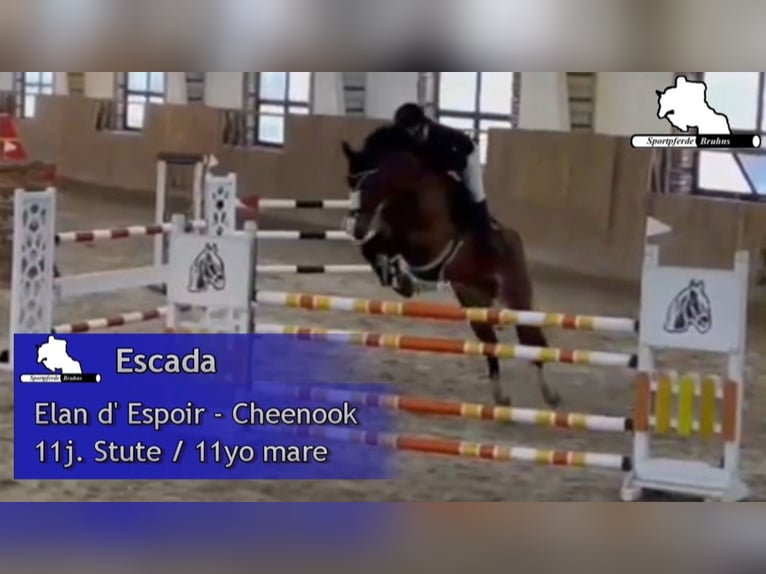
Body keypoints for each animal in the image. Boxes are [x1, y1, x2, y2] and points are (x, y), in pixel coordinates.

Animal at [340, 126, 561, 409]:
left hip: (516, 296)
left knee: (531, 341)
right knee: (490, 345)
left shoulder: (428, 240)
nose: (356, 228)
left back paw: (550, 394)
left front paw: (401, 277)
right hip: (474, 301)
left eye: (367, 182)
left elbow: (398, 242)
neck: (410, 190)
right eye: (349, 181)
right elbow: (377, 245)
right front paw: (397, 278)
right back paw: (501, 397)